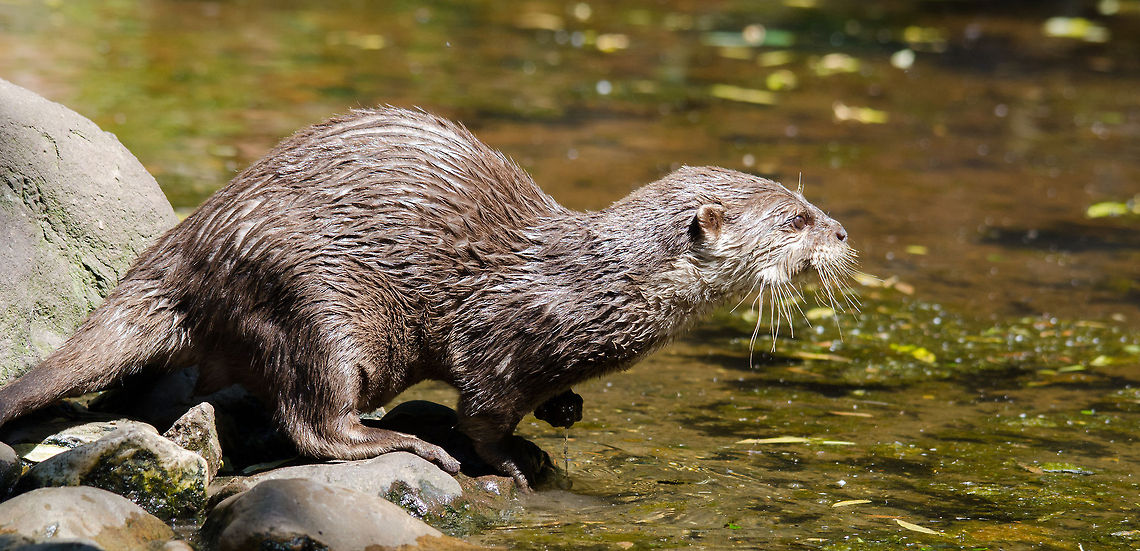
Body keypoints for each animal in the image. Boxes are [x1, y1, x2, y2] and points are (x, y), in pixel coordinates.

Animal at [0, 107, 854, 489]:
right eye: (793, 218)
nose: (844, 231)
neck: (596, 284)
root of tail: (195, 241)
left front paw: (565, 409)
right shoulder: (504, 337)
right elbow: (482, 413)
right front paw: (513, 460)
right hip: (318, 307)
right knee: (314, 421)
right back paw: (404, 442)